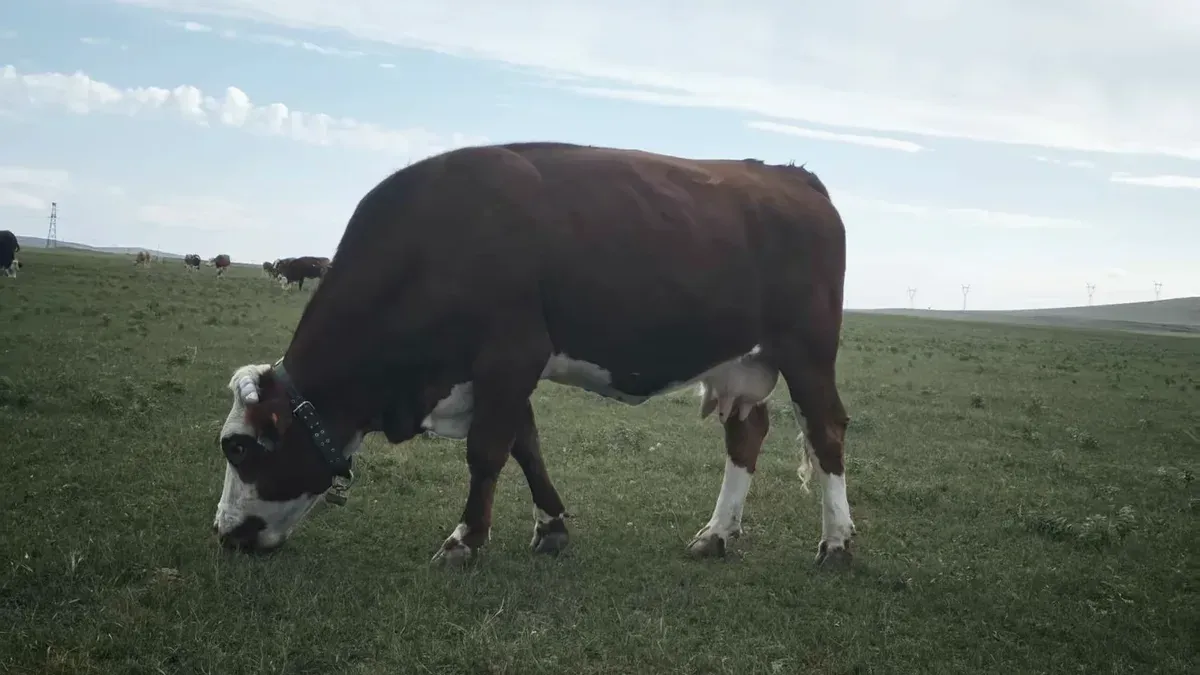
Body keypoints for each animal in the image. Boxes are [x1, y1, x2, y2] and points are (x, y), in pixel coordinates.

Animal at [214, 142, 854, 571]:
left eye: (239, 448)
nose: (225, 533)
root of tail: (792, 175)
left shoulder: (510, 354)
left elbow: (486, 451)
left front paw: (464, 540)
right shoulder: (499, 371)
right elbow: (526, 445)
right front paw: (551, 527)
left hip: (807, 350)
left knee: (827, 432)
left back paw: (838, 543)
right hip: (742, 362)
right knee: (747, 434)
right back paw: (717, 534)